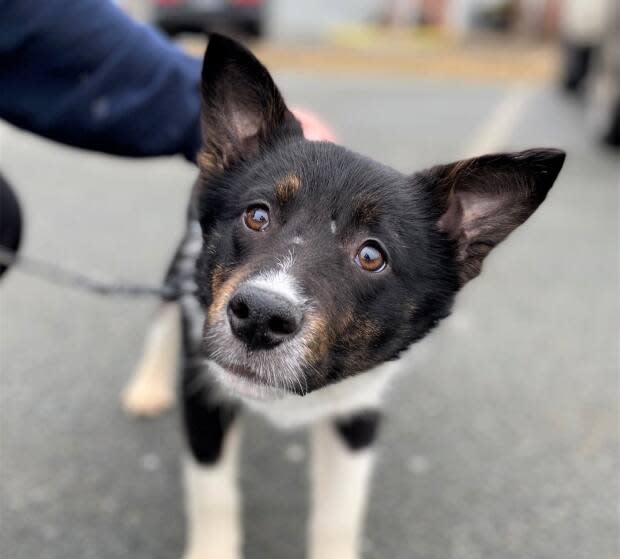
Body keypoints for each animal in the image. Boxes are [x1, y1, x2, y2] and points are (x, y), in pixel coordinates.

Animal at [121, 36, 568, 559]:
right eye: (257, 216)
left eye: (372, 256)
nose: (260, 317)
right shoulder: (205, 399)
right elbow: (213, 497)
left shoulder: (357, 415)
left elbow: (339, 514)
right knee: (164, 313)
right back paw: (148, 385)